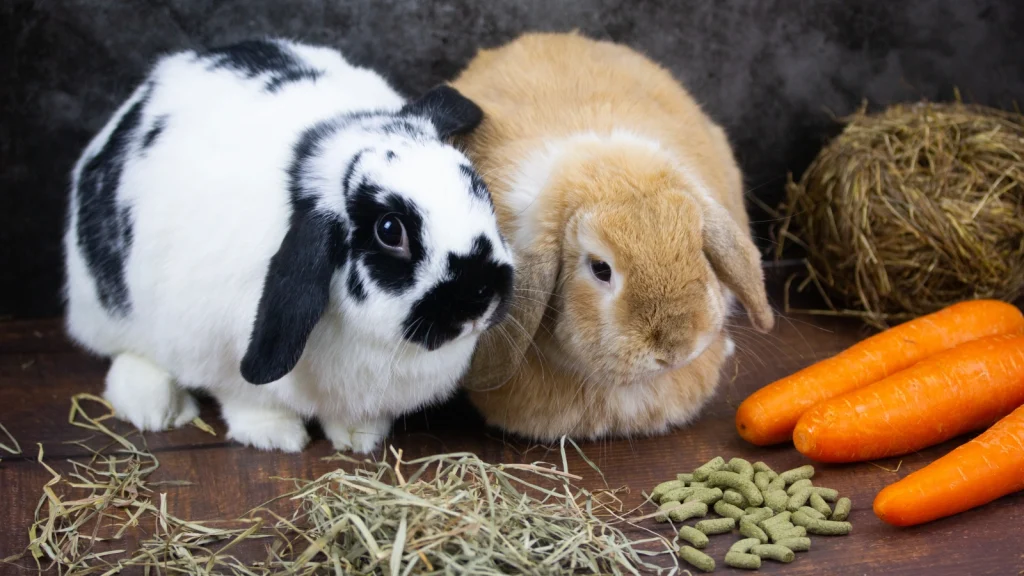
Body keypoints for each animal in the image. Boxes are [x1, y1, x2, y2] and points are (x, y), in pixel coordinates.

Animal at [63, 38, 514, 453]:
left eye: (477, 186)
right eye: (390, 230)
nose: (482, 294)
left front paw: (359, 437)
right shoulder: (217, 353)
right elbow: (246, 397)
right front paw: (276, 435)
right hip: (110, 310)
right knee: (129, 352)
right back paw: (156, 410)